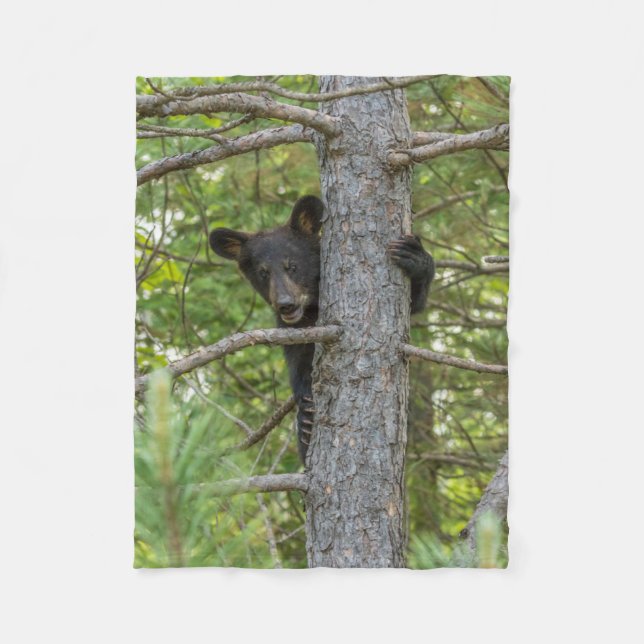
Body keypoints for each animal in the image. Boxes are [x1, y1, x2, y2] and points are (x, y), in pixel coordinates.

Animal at [209, 195, 434, 463]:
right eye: (263, 272)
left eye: (292, 266)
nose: (285, 304)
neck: (312, 307)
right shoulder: (295, 332)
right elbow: (299, 365)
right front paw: (305, 418)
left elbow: (414, 302)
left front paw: (415, 256)